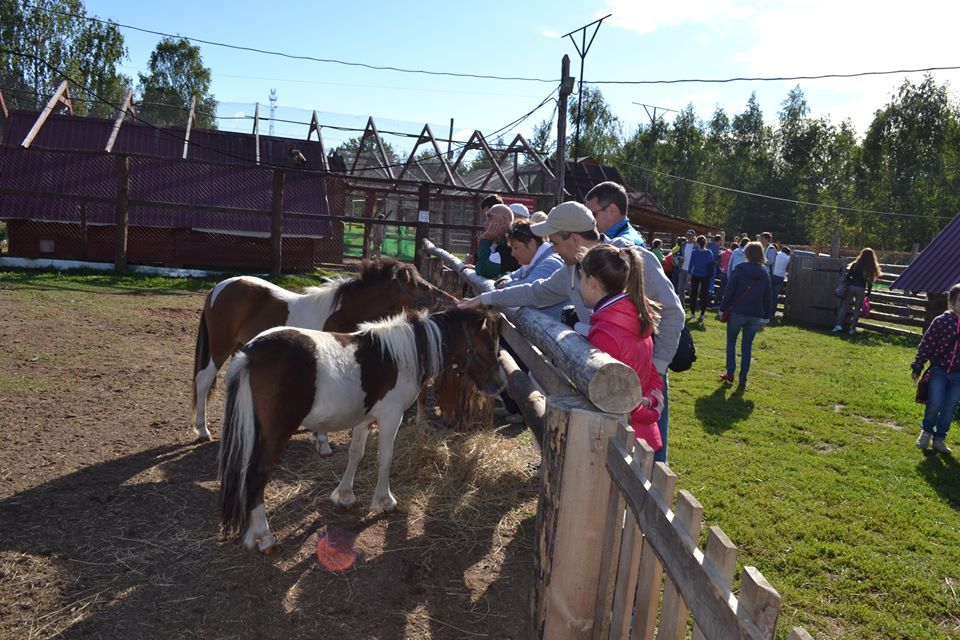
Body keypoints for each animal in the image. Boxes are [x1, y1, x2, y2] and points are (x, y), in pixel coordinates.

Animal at [192, 258, 458, 448]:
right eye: (423, 286)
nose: (453, 301)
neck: (345, 311)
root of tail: (218, 288)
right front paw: (322, 441)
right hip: (220, 348)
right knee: (203, 381)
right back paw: (203, 430)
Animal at [217, 308, 502, 552]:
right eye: (490, 346)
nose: (500, 384)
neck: (402, 355)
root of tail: (250, 353)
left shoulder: (364, 420)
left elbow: (356, 454)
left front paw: (345, 496)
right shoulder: (391, 417)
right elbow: (385, 458)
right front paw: (385, 501)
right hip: (276, 433)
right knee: (256, 476)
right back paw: (264, 537)